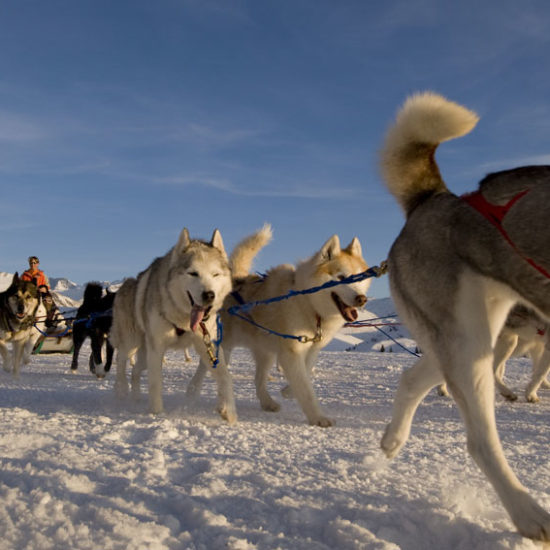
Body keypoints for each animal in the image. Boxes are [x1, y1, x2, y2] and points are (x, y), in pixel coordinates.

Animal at [110, 229, 235, 422]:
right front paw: (156, 413)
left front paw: (229, 412)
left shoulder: (208, 345)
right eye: (193, 273)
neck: (183, 318)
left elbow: (225, 377)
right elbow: (155, 382)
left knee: (136, 371)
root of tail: (124, 286)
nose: (209, 295)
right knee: (121, 360)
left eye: (215, 274)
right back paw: (121, 388)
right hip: (132, 343)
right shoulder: (157, 348)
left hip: (144, 356)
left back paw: (136, 396)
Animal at [188, 226, 374, 430]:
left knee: (258, 380)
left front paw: (288, 391)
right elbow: (306, 390)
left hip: (265, 352)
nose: (361, 299)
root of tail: (236, 279)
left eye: (360, 278)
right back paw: (193, 391)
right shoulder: (291, 352)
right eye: (341, 278)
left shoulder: (309, 348)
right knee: (205, 367)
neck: (308, 303)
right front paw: (318, 417)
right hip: (225, 344)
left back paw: (267, 402)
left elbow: (306, 372)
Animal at [380, 92, 550, 540]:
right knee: (480, 441)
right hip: (466, 341)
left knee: (412, 379)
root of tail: (437, 198)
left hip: (467, 337)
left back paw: (393, 438)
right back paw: (528, 512)